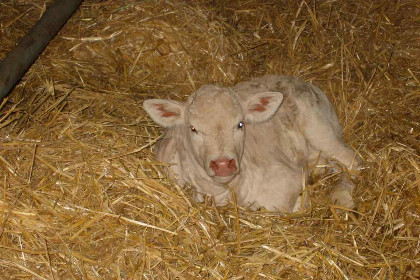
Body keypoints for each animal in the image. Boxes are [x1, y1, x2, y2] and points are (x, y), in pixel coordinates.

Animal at [143, 75, 360, 211]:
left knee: (353, 162)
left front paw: (304, 200)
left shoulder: (288, 178)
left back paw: (341, 196)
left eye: (240, 124)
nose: (223, 164)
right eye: (193, 128)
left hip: (318, 128)